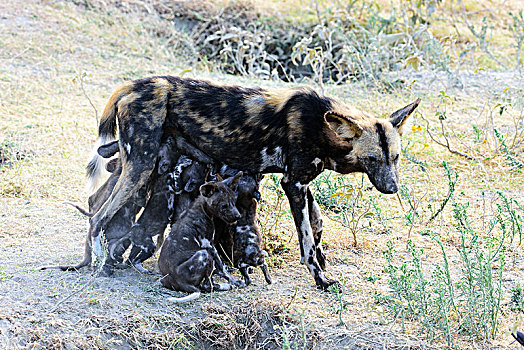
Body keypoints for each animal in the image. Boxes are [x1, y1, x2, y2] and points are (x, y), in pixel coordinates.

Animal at [158, 172, 246, 300]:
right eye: (224, 205)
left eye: (234, 202)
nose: (238, 216)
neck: (204, 210)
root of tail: (178, 281)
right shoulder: (209, 245)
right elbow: (222, 268)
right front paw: (235, 281)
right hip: (204, 254)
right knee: (207, 286)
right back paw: (226, 286)